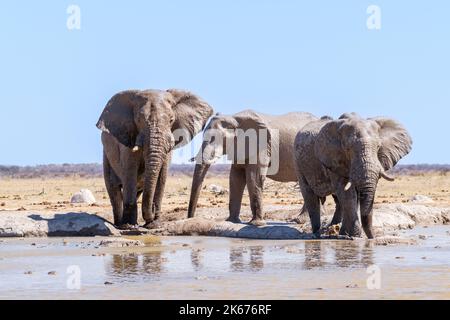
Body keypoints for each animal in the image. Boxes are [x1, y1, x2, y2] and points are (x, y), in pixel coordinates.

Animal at [95, 89, 214, 229]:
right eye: (138, 120)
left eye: (171, 120)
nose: (152, 208)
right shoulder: (128, 137)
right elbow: (130, 169)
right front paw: (129, 226)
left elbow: (162, 174)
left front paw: (154, 224)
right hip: (106, 154)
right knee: (114, 188)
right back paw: (120, 224)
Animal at [188, 109, 318, 225]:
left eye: (215, 138)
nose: (190, 219)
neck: (234, 118)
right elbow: (235, 178)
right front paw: (231, 221)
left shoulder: (262, 147)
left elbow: (253, 178)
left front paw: (256, 224)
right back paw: (298, 220)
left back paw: (299, 221)